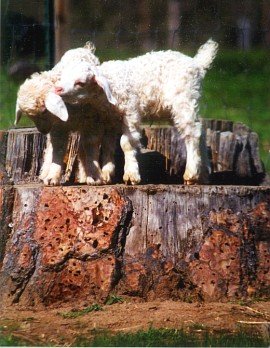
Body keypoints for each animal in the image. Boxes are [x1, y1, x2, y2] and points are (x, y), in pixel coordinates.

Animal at [14, 41, 116, 185]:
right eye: (30, 117)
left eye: (44, 110)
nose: (43, 131)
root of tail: (84, 48)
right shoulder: (58, 127)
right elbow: (58, 149)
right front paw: (52, 177)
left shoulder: (92, 123)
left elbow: (91, 147)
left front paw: (95, 176)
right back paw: (47, 172)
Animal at [56, 38, 218, 185]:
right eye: (63, 75)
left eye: (80, 83)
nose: (58, 89)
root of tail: (197, 64)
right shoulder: (109, 120)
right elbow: (108, 144)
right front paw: (107, 174)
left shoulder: (130, 113)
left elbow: (126, 143)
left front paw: (131, 175)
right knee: (200, 130)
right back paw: (203, 175)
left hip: (183, 100)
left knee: (192, 134)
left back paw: (191, 174)